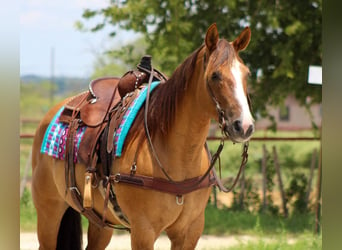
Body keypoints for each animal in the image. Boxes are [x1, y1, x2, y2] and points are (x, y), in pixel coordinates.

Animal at [31, 22, 254, 249]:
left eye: (247, 74)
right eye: (215, 75)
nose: (244, 126)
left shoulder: (190, 231)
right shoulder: (143, 231)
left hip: (101, 223)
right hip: (49, 211)